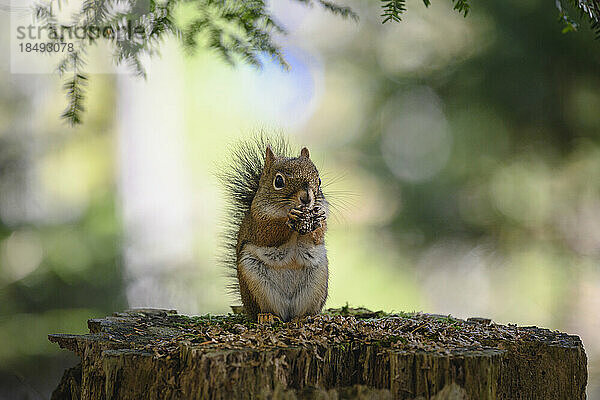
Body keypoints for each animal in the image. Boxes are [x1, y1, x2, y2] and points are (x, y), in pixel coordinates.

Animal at [221, 137, 328, 322]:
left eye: (319, 180)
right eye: (278, 181)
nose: (307, 198)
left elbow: (318, 236)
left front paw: (316, 219)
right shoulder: (257, 222)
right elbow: (268, 234)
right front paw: (289, 219)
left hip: (318, 280)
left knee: (301, 312)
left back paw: (303, 317)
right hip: (255, 282)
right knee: (268, 309)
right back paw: (267, 316)